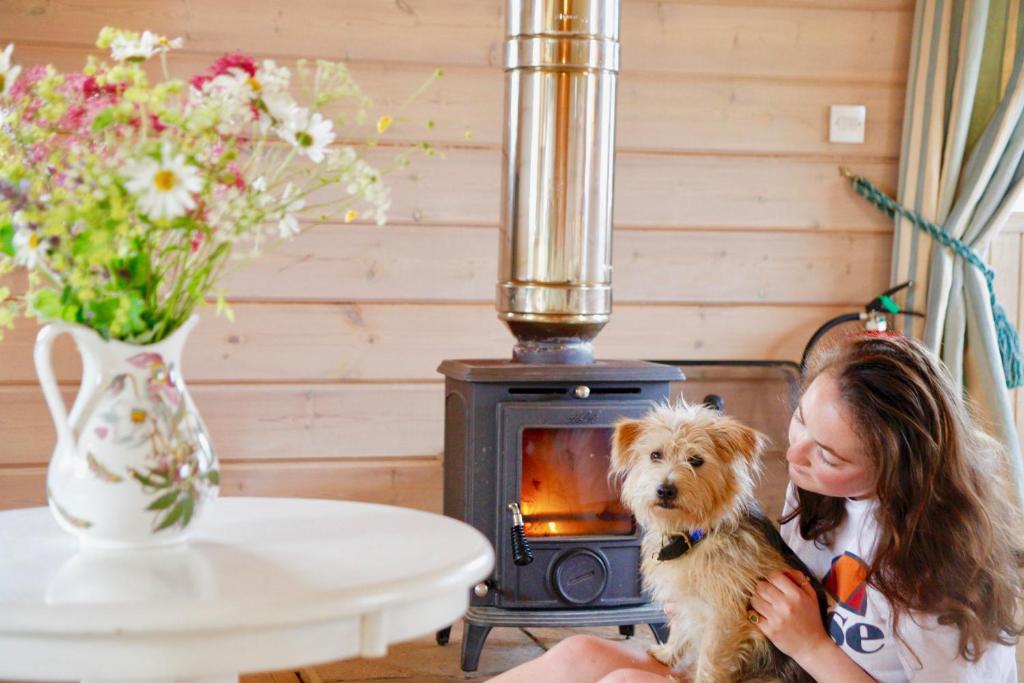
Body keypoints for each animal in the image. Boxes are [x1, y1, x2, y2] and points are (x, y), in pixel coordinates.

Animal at [606, 403, 823, 679]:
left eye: (696, 460)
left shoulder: (725, 619)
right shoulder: (685, 602)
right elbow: (680, 629)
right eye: (655, 455)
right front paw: (667, 654)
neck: (695, 536)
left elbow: (710, 661)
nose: (665, 490)